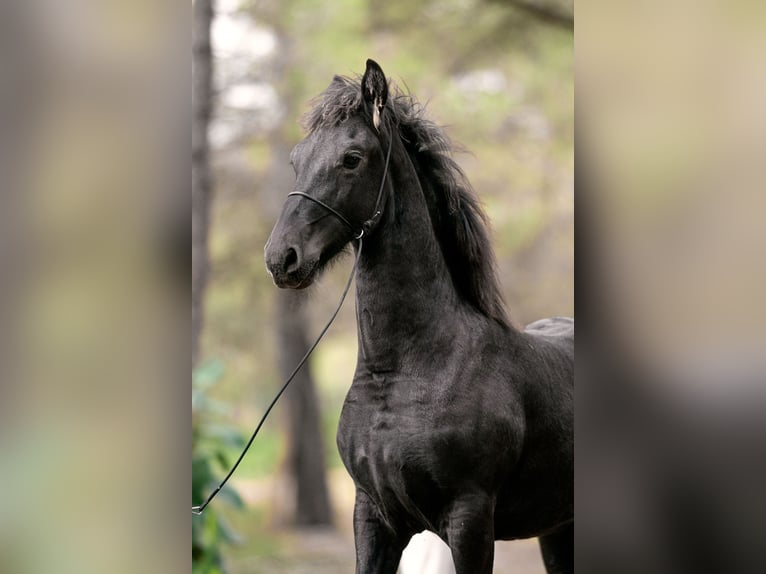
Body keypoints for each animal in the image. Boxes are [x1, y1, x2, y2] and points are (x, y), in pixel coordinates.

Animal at [264, 59, 573, 574]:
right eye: (295, 159)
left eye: (352, 158)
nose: (281, 259)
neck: (405, 372)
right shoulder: (372, 517)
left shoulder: (469, 521)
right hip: (556, 529)